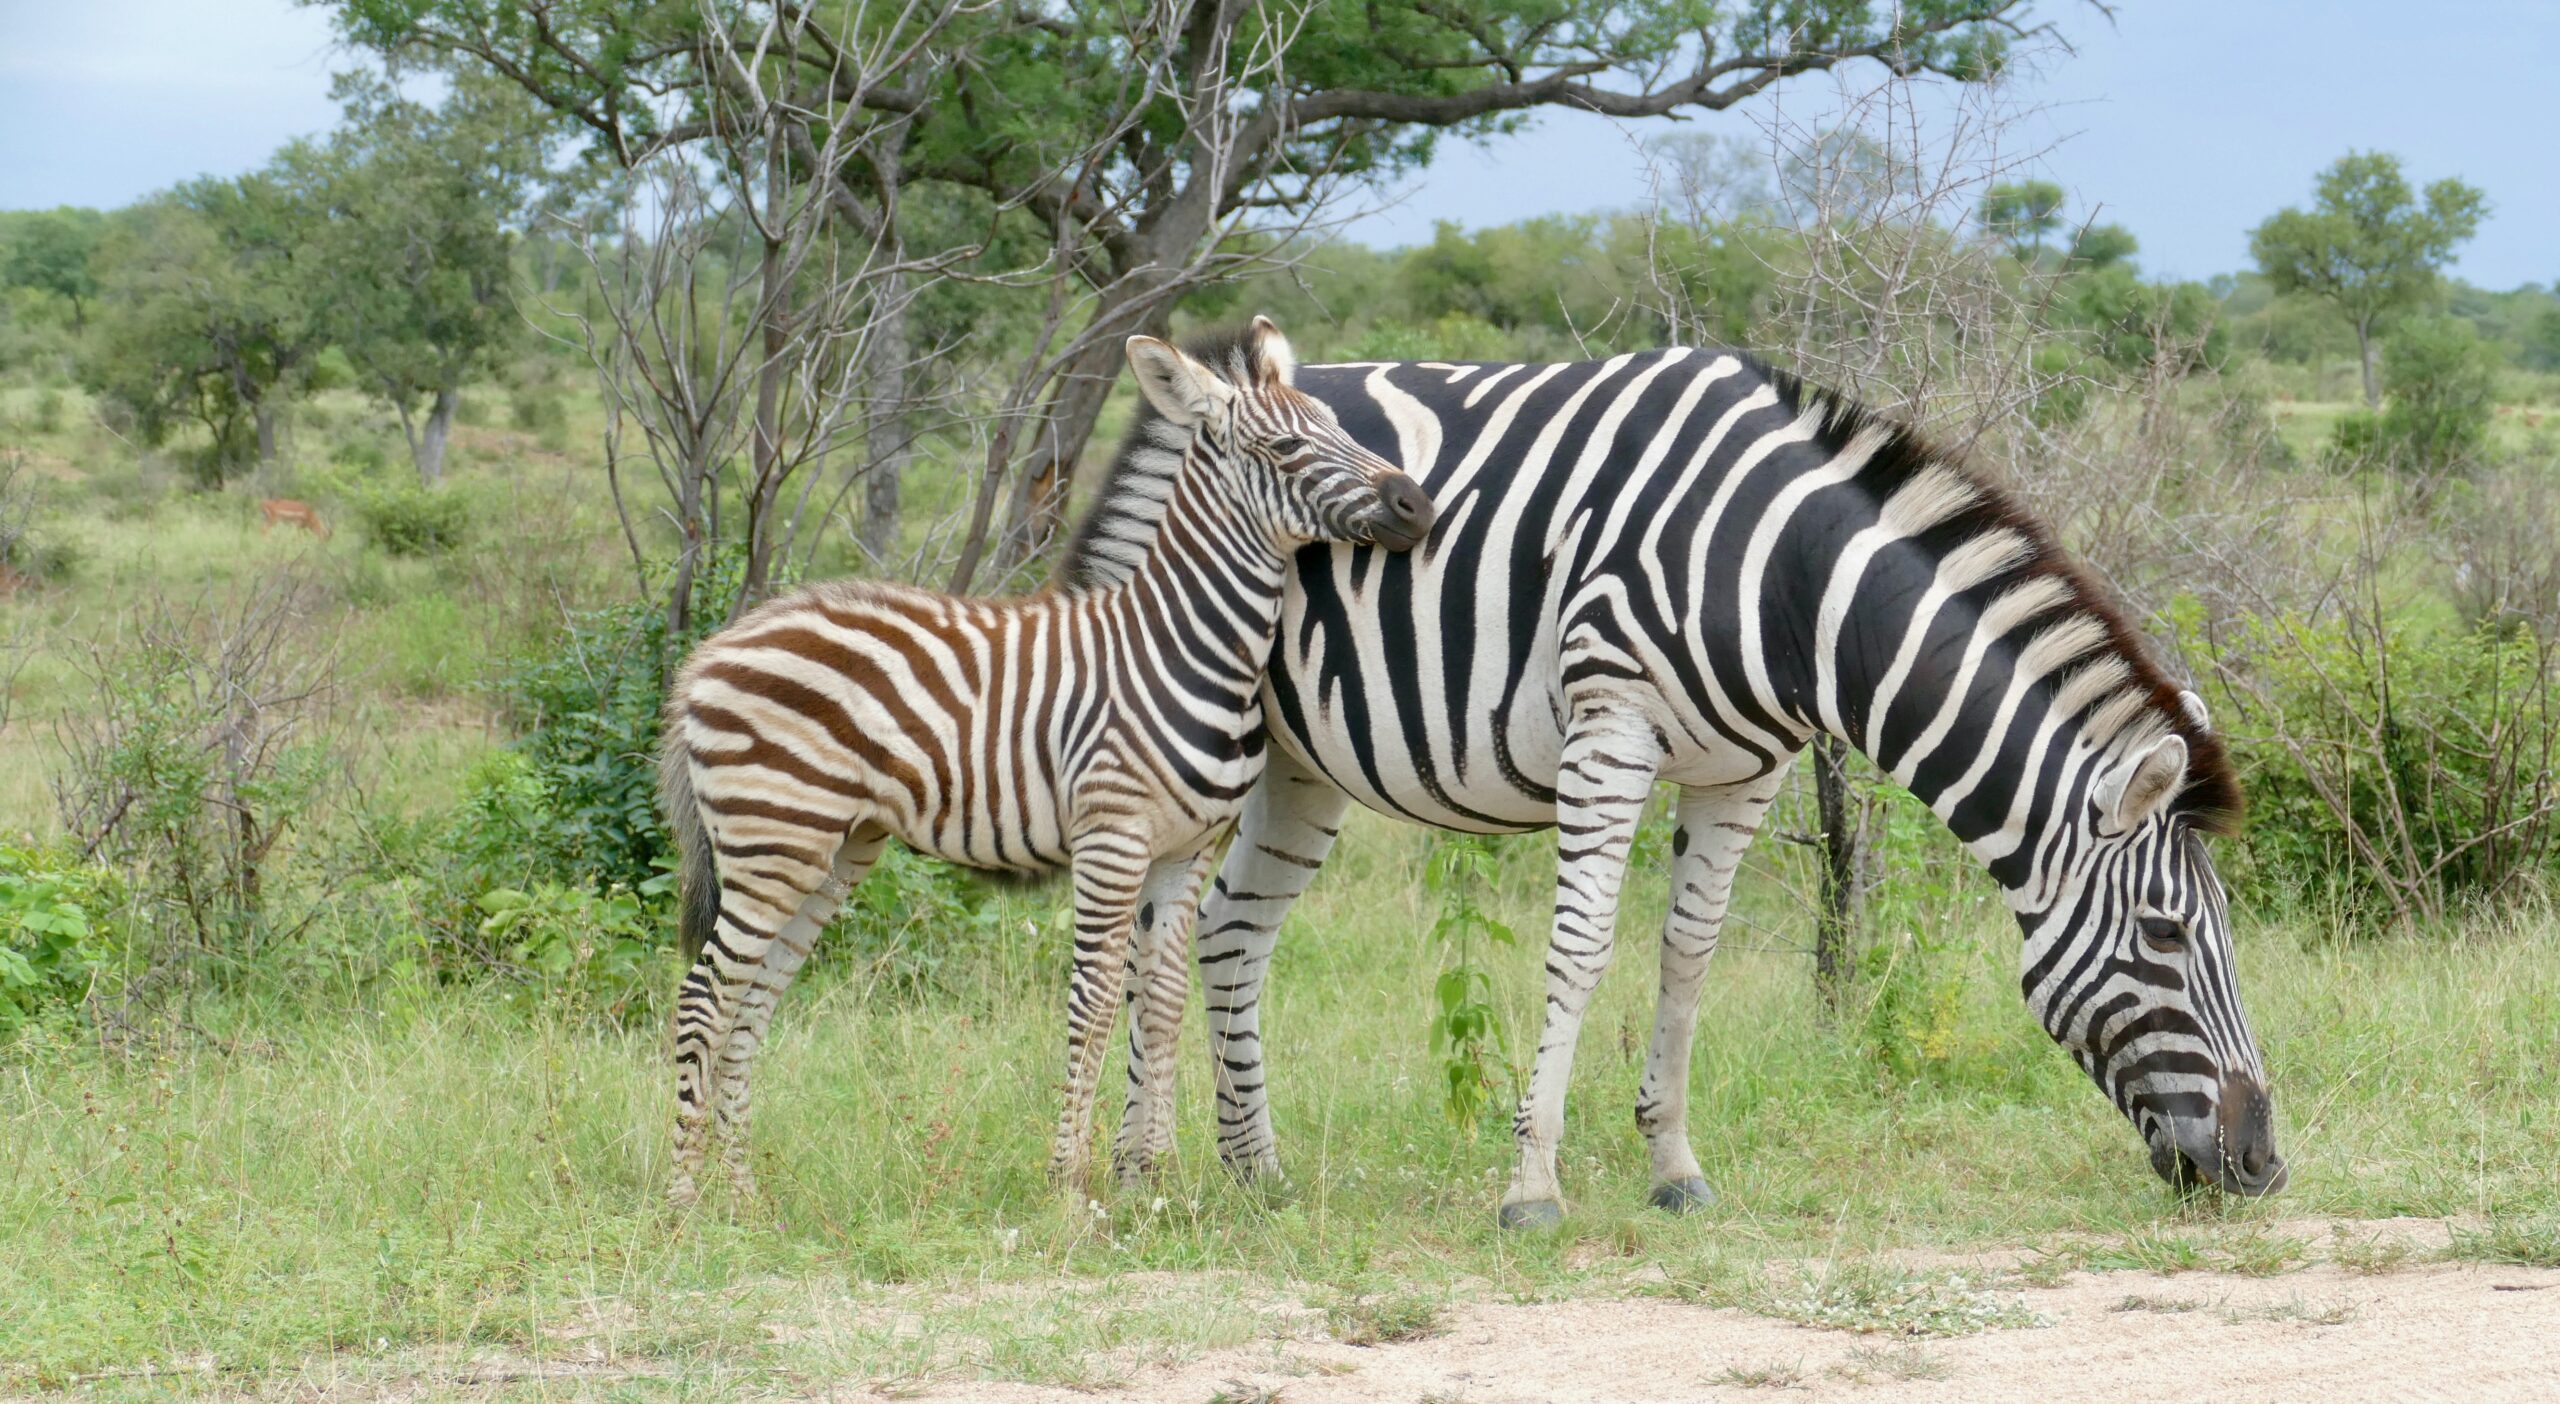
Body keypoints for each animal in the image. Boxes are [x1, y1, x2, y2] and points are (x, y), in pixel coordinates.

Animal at [650, 317, 1433, 1204]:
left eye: (1338, 427)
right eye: (1284, 447)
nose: (1417, 504)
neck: (1183, 645)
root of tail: (713, 651)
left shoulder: (1187, 851)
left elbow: (1162, 1000)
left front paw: (1152, 1180)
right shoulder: (1112, 840)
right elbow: (1093, 1002)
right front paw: (1069, 1183)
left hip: (830, 849)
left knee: (751, 1000)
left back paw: (744, 1193)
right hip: (771, 838)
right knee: (704, 997)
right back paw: (685, 1198)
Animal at [1070, 340, 2293, 1229]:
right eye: (2167, 933)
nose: (2261, 1166)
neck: (1792, 582)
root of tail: (1213, 386)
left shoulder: (1746, 769)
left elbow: (1687, 955)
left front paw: (1673, 1167)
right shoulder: (1610, 725)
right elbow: (1581, 946)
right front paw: (1532, 1187)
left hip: (1303, 757)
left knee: (1231, 932)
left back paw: (1255, 1172)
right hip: (1187, 719)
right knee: (1148, 930)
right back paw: (1136, 1170)